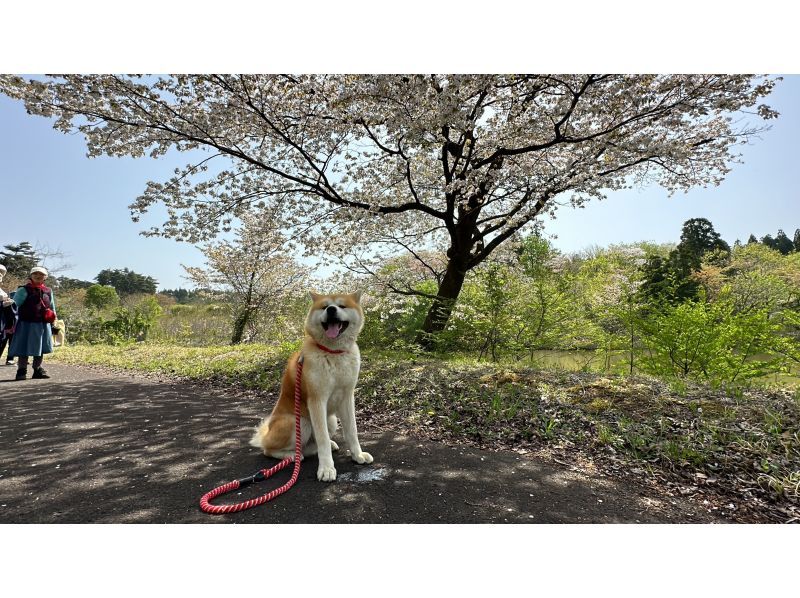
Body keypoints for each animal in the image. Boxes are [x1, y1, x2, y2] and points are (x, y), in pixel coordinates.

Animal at [248, 290, 374, 482]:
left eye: (342, 306)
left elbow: (352, 431)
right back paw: (292, 455)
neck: (333, 353)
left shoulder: (347, 397)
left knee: (312, 444)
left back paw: (324, 445)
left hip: (330, 420)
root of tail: (266, 435)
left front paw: (357, 455)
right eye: (324, 306)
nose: (331, 310)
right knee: (269, 450)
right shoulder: (317, 400)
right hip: (301, 422)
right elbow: (322, 439)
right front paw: (327, 468)